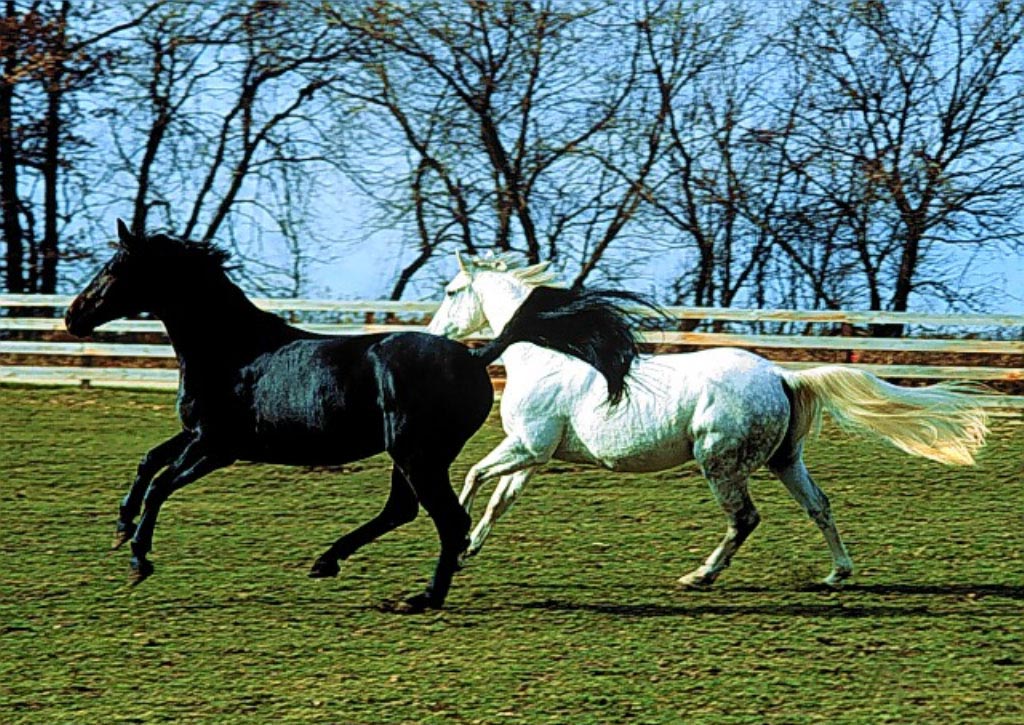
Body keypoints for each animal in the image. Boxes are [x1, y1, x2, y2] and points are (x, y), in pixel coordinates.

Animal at [64, 222, 638, 610]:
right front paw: (120, 529)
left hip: (417, 454)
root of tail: (476, 357)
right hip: (410, 455)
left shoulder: (217, 447)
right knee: (405, 512)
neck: (234, 351)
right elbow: (147, 463)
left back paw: (419, 598)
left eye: (113, 269)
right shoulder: (196, 435)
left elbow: (161, 484)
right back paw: (330, 561)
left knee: (448, 520)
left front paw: (138, 561)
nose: (73, 317)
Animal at [428, 254, 987, 589]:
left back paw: (699, 575)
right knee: (820, 506)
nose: (435, 334)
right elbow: (500, 500)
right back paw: (836, 574)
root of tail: (781, 375)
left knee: (745, 519)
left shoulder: (526, 445)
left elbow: (473, 475)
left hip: (718, 462)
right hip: (785, 462)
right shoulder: (534, 454)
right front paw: (468, 548)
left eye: (453, 290)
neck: (545, 355)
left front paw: (457, 543)